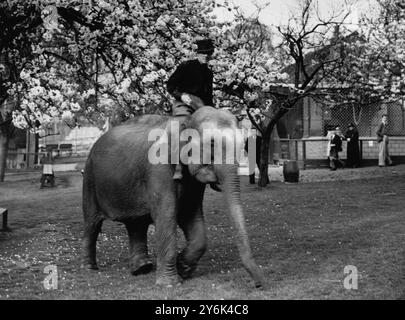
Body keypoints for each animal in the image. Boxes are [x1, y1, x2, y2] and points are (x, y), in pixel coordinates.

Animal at [82, 107, 264, 288]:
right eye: (212, 143)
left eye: (243, 143)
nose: (257, 284)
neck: (186, 119)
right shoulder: (159, 168)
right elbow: (167, 215)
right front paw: (170, 284)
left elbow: (190, 214)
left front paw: (183, 268)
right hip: (89, 177)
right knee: (92, 224)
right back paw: (90, 268)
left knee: (136, 224)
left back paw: (141, 269)